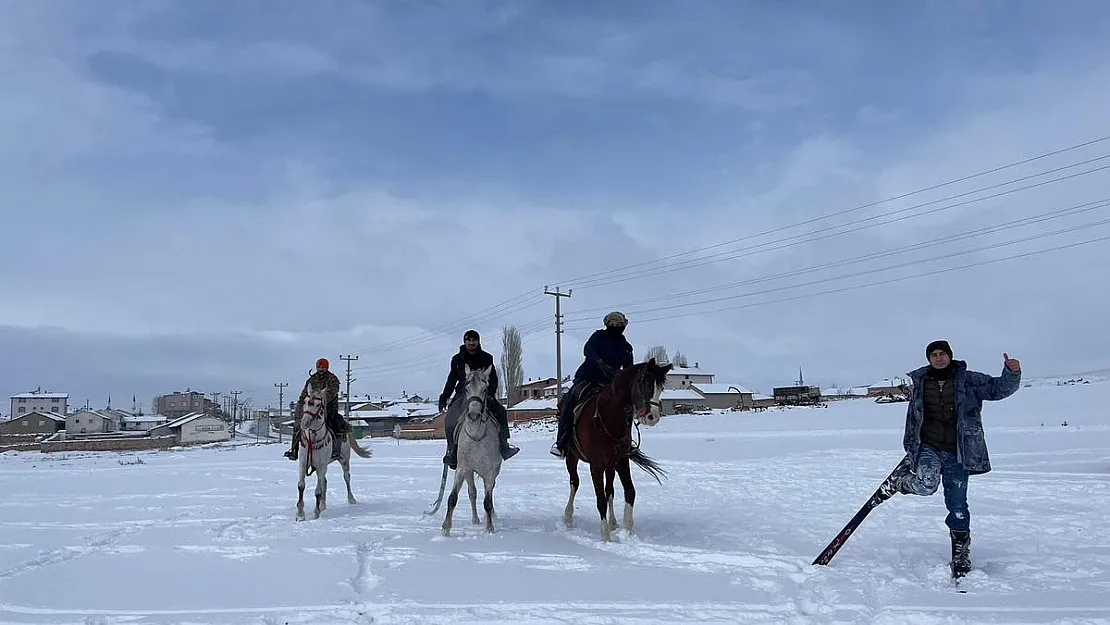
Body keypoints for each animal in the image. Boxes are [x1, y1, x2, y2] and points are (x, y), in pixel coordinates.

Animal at [295, 381, 372, 523]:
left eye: (318, 404)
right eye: (306, 401)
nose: (304, 423)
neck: (313, 439)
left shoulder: (321, 466)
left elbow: (318, 491)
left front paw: (316, 513)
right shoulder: (303, 463)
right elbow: (301, 486)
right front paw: (300, 514)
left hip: (344, 460)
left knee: (346, 477)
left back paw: (351, 499)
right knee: (324, 482)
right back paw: (323, 505)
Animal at [439, 366, 501, 537]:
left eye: (485, 389)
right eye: (466, 388)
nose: (473, 416)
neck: (476, 436)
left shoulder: (490, 472)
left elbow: (487, 501)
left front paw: (490, 527)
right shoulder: (462, 469)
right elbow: (452, 498)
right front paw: (446, 529)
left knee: (488, 493)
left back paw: (490, 516)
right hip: (469, 472)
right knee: (472, 493)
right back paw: (475, 519)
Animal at [563, 359, 666, 539]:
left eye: (661, 389)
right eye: (646, 383)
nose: (652, 417)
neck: (607, 417)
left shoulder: (621, 461)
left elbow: (629, 492)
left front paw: (627, 531)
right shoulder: (596, 465)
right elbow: (600, 500)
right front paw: (605, 537)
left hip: (610, 465)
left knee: (609, 490)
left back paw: (613, 522)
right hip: (571, 457)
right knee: (574, 483)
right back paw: (568, 517)